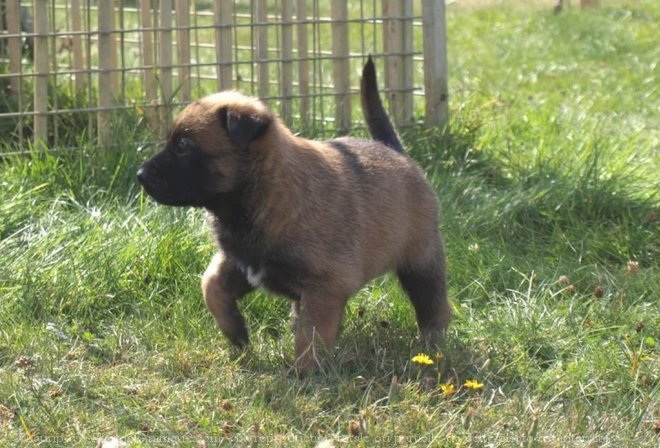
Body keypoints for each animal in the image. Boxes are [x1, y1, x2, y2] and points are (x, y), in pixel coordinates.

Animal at [137, 57, 452, 374]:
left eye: (183, 147)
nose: (140, 175)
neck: (264, 191)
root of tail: (397, 153)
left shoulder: (325, 286)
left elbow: (311, 335)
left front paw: (305, 373)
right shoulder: (241, 263)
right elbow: (210, 284)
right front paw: (235, 331)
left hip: (422, 262)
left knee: (433, 306)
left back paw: (432, 347)